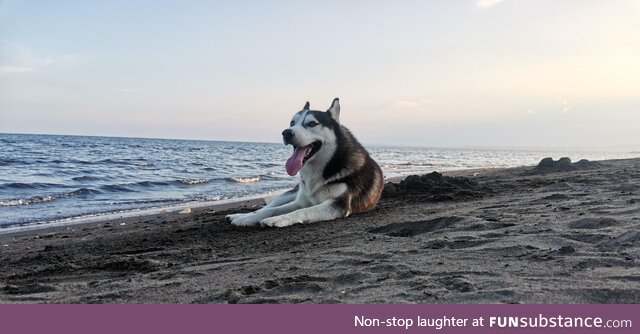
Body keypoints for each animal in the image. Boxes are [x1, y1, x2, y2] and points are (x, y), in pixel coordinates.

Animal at [228, 96, 382, 227]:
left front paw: (278, 219)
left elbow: (301, 211)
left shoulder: (338, 205)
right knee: (270, 205)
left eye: (312, 123)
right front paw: (247, 218)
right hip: (291, 193)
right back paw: (239, 215)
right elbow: (271, 210)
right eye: (292, 123)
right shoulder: (301, 201)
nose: (286, 132)